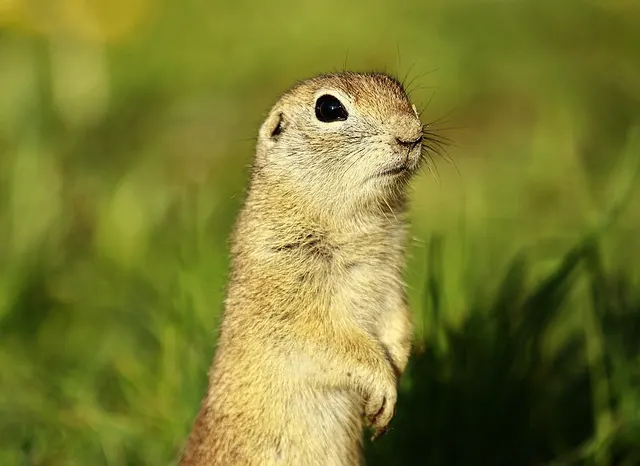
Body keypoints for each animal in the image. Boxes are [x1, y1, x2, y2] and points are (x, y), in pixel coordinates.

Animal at [180, 71, 426, 465]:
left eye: (401, 91)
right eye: (329, 108)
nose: (412, 134)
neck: (357, 219)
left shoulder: (389, 274)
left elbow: (397, 318)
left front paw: (397, 372)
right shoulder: (287, 290)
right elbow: (326, 341)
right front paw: (384, 385)